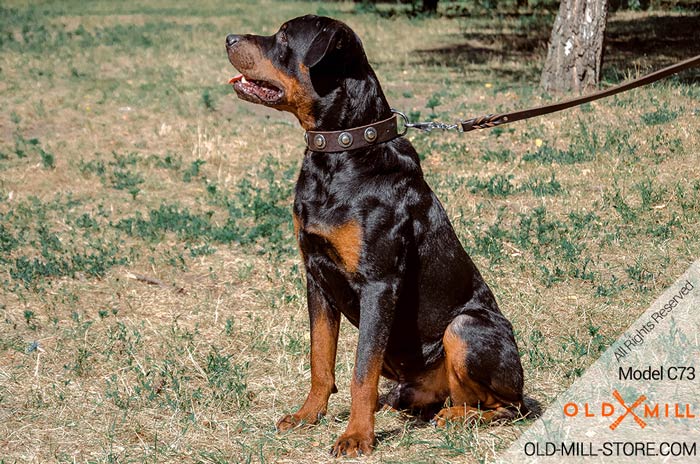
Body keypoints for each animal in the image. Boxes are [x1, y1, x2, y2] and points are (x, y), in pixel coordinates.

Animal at [226, 15, 524, 460]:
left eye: (282, 38)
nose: (229, 38)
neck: (339, 155)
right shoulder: (316, 276)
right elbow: (320, 358)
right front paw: (307, 415)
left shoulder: (379, 283)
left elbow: (361, 372)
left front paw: (356, 436)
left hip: (466, 327)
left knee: (506, 405)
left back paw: (459, 417)